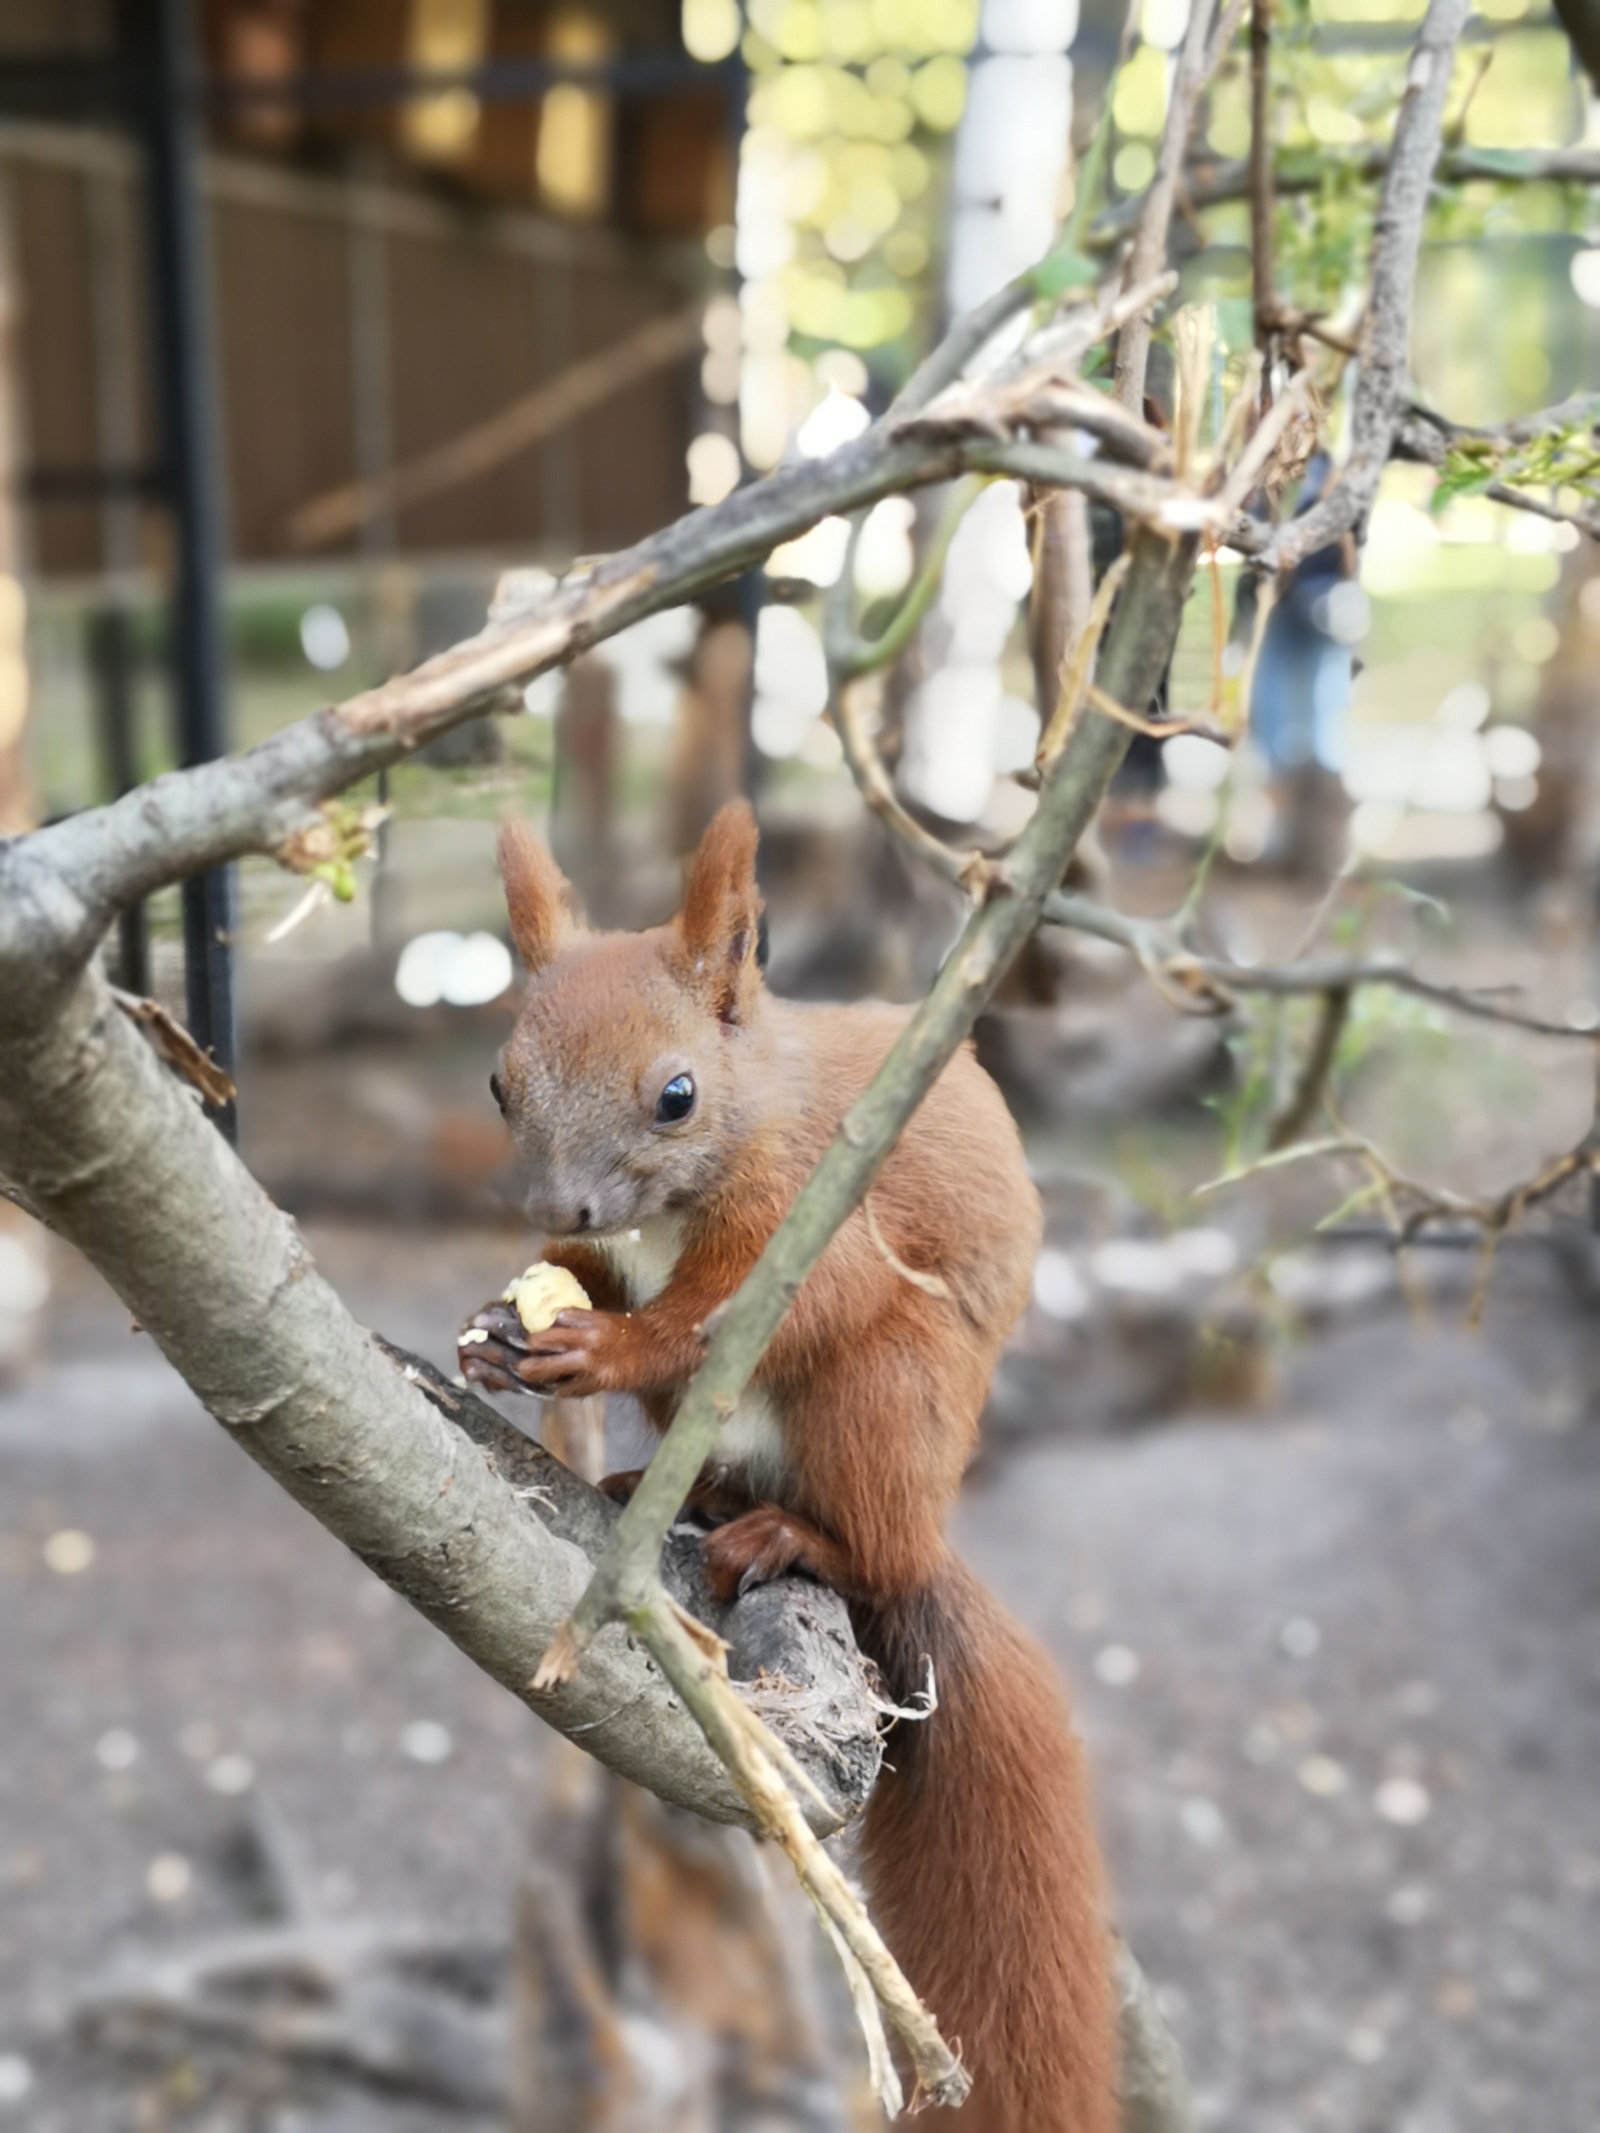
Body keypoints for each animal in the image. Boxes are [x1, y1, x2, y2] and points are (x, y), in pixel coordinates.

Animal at [456, 802, 1117, 2133]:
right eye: (500, 1081)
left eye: (675, 1095)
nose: (557, 1202)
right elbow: (589, 1274)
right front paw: (511, 1324)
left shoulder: (821, 1215)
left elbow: (758, 1308)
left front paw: (604, 1345)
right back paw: (681, 1494)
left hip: (884, 1401)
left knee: (872, 1547)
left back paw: (794, 1537)